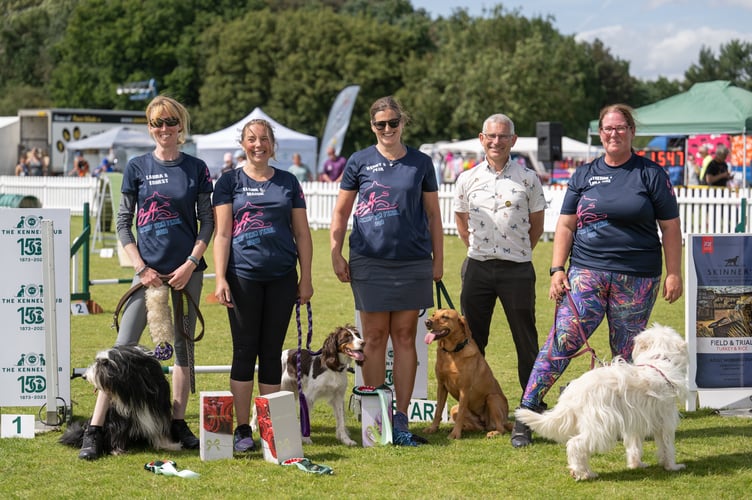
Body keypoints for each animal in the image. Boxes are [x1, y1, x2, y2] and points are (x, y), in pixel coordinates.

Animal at [516, 324, 688, 480]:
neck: (659, 361)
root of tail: (573, 392)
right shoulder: (666, 420)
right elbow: (668, 447)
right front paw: (672, 466)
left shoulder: (635, 422)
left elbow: (634, 447)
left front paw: (636, 464)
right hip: (601, 425)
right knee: (575, 444)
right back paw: (582, 473)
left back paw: (584, 471)